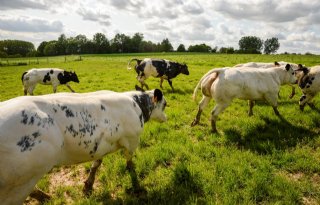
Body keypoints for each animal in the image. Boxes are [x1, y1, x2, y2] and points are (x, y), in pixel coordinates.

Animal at [0, 87, 168, 204]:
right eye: (165, 104)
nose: (166, 118)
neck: (136, 104)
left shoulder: (102, 144)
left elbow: (97, 163)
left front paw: (88, 185)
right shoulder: (132, 140)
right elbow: (130, 163)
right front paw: (137, 186)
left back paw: (44, 196)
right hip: (24, 178)